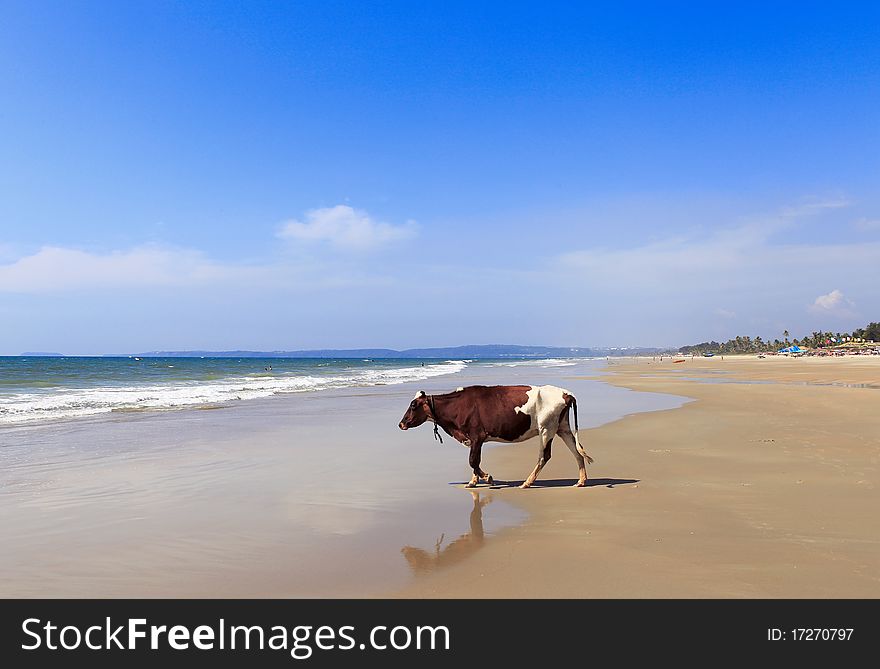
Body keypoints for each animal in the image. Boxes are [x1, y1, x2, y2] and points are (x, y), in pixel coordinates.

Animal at [400, 384, 596, 488]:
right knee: (577, 452)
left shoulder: (477, 435)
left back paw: (527, 482)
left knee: (544, 456)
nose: (401, 424)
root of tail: (566, 393)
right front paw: (473, 482)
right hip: (562, 428)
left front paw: (488, 478)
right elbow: (474, 461)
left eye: (413, 405)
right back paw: (581, 481)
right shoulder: (474, 439)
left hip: (546, 428)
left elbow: (473, 460)